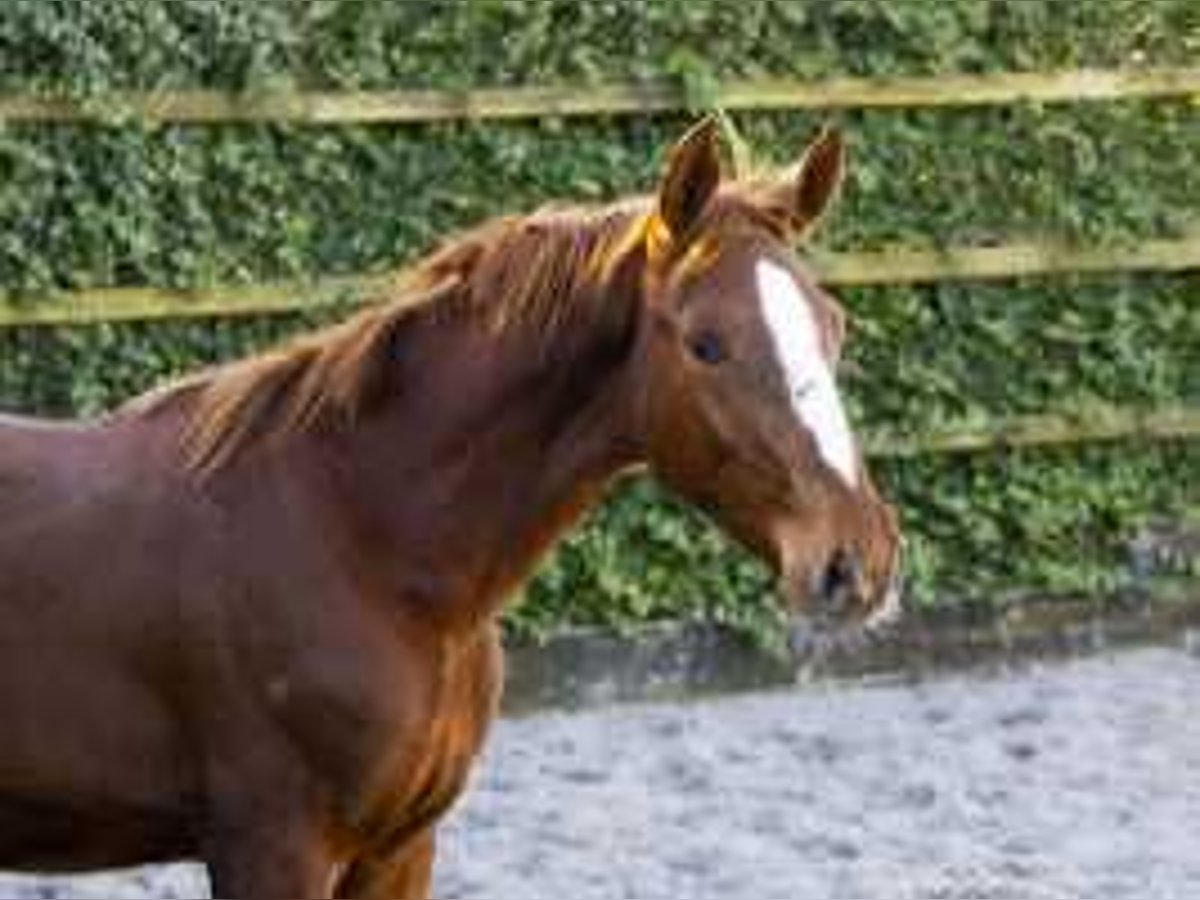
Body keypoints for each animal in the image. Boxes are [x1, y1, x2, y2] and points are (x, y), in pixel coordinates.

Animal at [0, 118, 902, 897]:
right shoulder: (273, 848)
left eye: (835, 326)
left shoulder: (400, 849)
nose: (857, 560)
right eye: (706, 343)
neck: (356, 539)